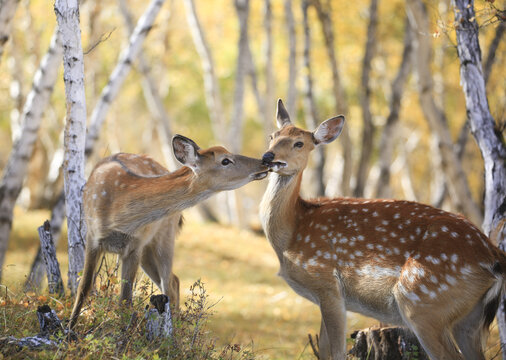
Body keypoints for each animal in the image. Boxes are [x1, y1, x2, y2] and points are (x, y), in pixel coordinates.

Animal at [69, 135, 270, 330]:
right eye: (225, 160)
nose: (264, 162)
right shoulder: (92, 237)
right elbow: (84, 286)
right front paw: (70, 330)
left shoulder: (135, 245)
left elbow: (125, 300)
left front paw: (124, 335)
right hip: (149, 249)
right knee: (171, 281)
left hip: (164, 236)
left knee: (170, 283)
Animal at [260, 99, 506, 360]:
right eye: (272, 136)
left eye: (299, 143)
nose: (268, 156)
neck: (292, 232)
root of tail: (495, 257)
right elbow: (325, 351)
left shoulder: (326, 283)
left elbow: (335, 352)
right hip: (469, 319)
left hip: (424, 301)